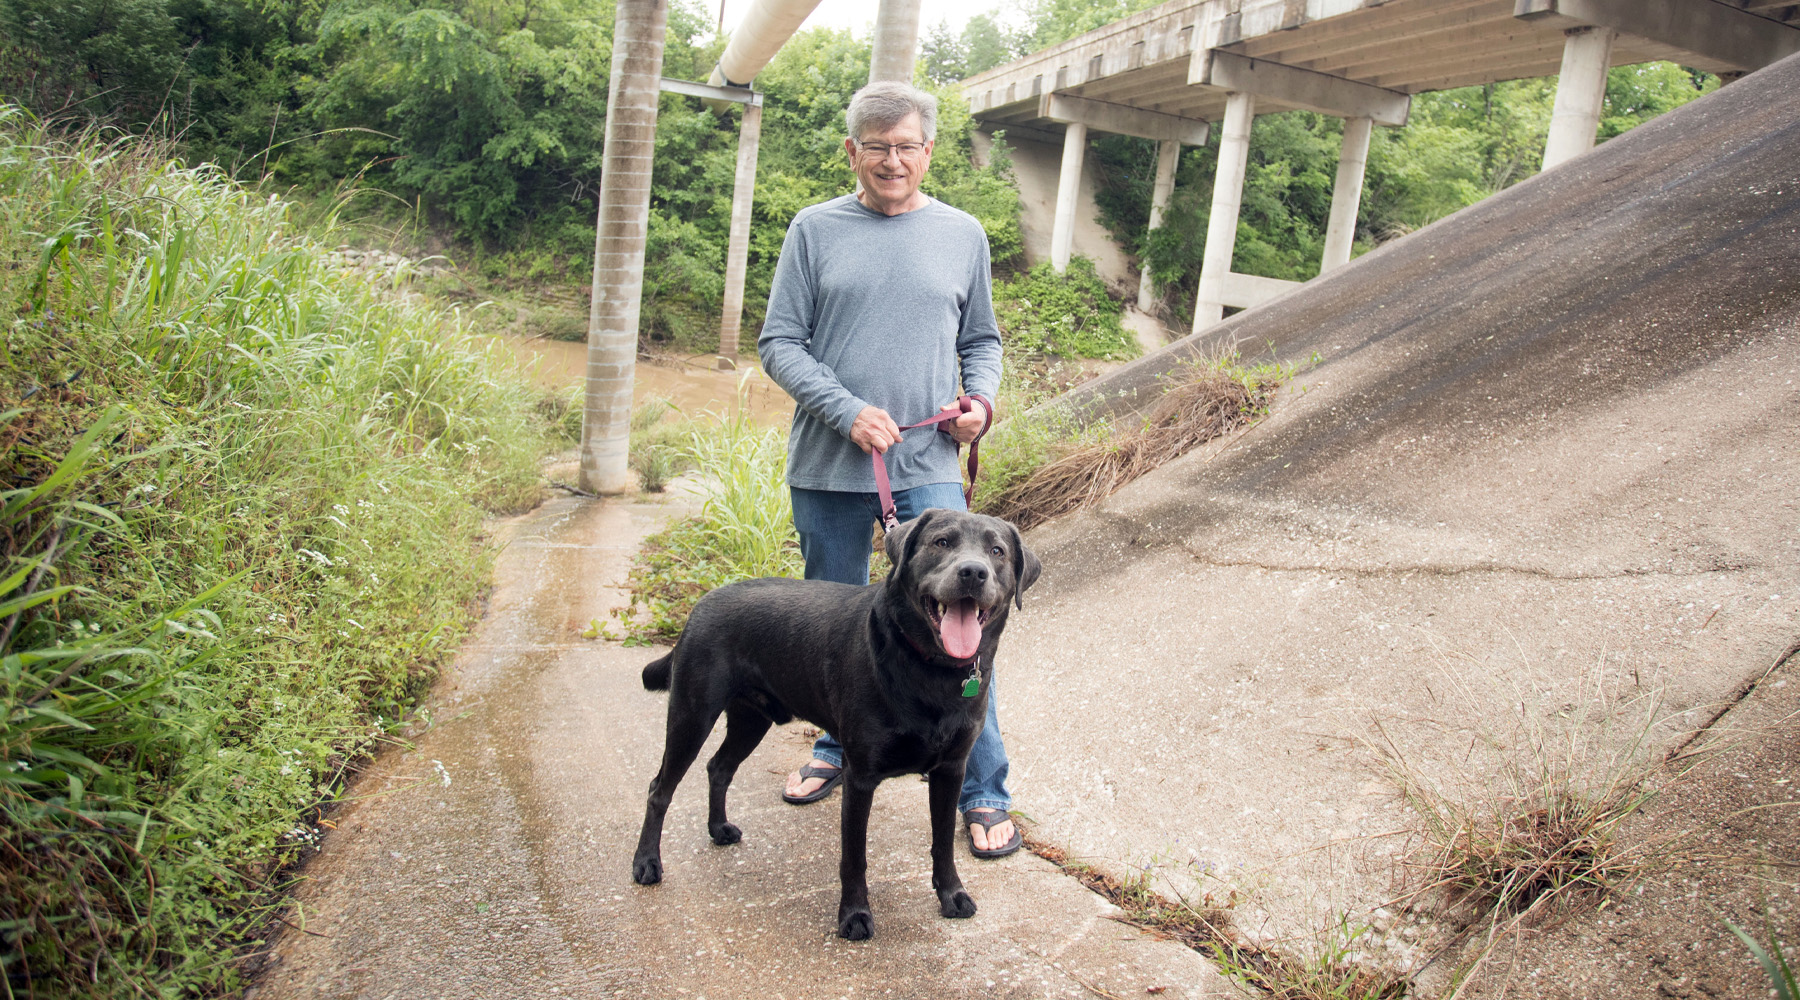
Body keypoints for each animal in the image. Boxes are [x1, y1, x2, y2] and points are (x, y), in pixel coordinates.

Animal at [630, 507, 1044, 935]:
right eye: (942, 542)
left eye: (996, 551)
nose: (973, 572)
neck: (931, 668)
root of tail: (701, 604)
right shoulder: (859, 776)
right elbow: (854, 857)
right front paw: (855, 914)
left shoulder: (951, 771)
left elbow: (943, 843)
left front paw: (952, 895)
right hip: (691, 716)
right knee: (660, 789)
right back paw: (646, 863)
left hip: (751, 719)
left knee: (719, 767)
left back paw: (718, 829)